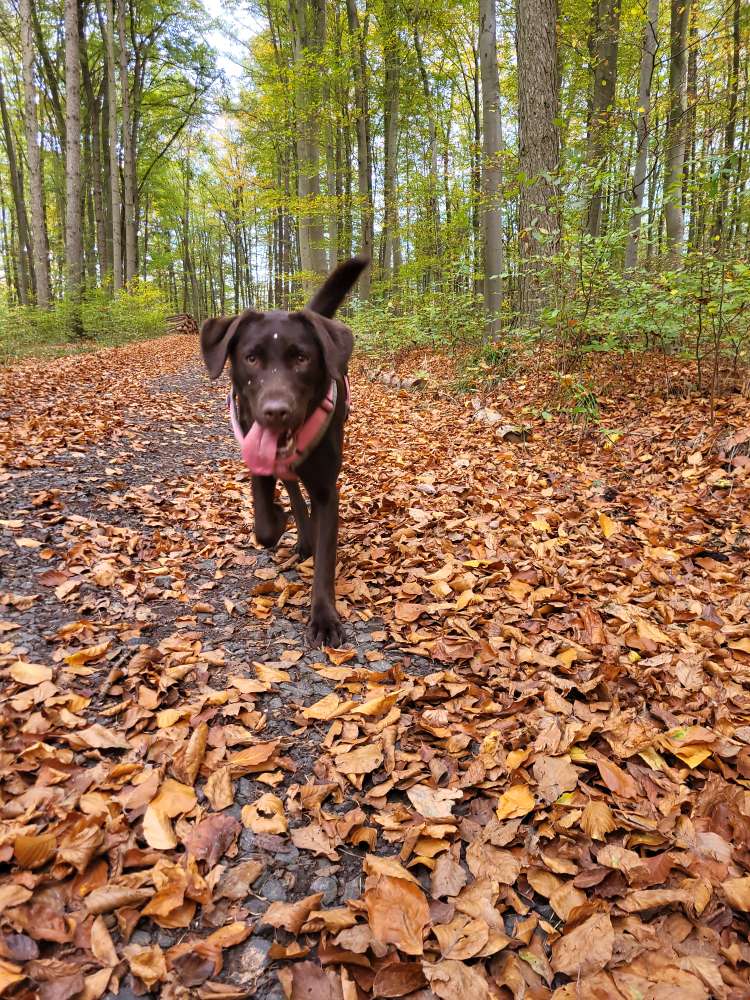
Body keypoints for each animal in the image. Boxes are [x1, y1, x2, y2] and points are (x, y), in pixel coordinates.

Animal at [198, 258, 366, 644]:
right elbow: (263, 527)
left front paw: (323, 618)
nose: (276, 411)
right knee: (292, 491)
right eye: (251, 358)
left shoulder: (326, 489)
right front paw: (278, 517)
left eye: (302, 358)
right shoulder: (257, 463)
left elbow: (325, 556)